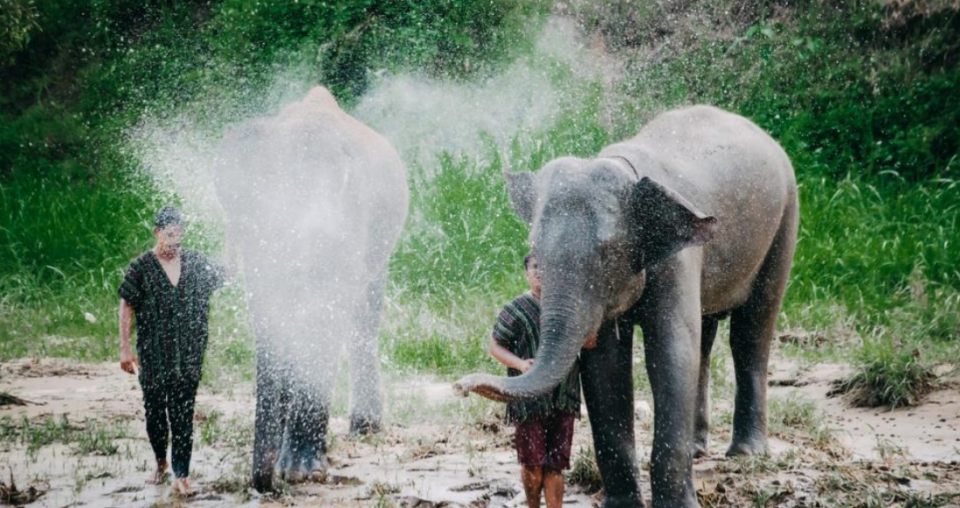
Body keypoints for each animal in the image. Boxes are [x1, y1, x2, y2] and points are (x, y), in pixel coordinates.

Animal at [214, 86, 408, 492]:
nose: (263, 485)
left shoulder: (347, 220)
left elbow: (322, 314)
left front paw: (302, 473)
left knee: (363, 318)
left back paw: (365, 429)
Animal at [454, 105, 800, 506]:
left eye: (606, 253)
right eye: (534, 249)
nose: (460, 386)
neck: (624, 168)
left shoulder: (676, 261)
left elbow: (668, 353)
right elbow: (605, 366)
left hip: (785, 219)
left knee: (751, 332)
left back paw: (746, 453)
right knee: (704, 338)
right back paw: (698, 449)